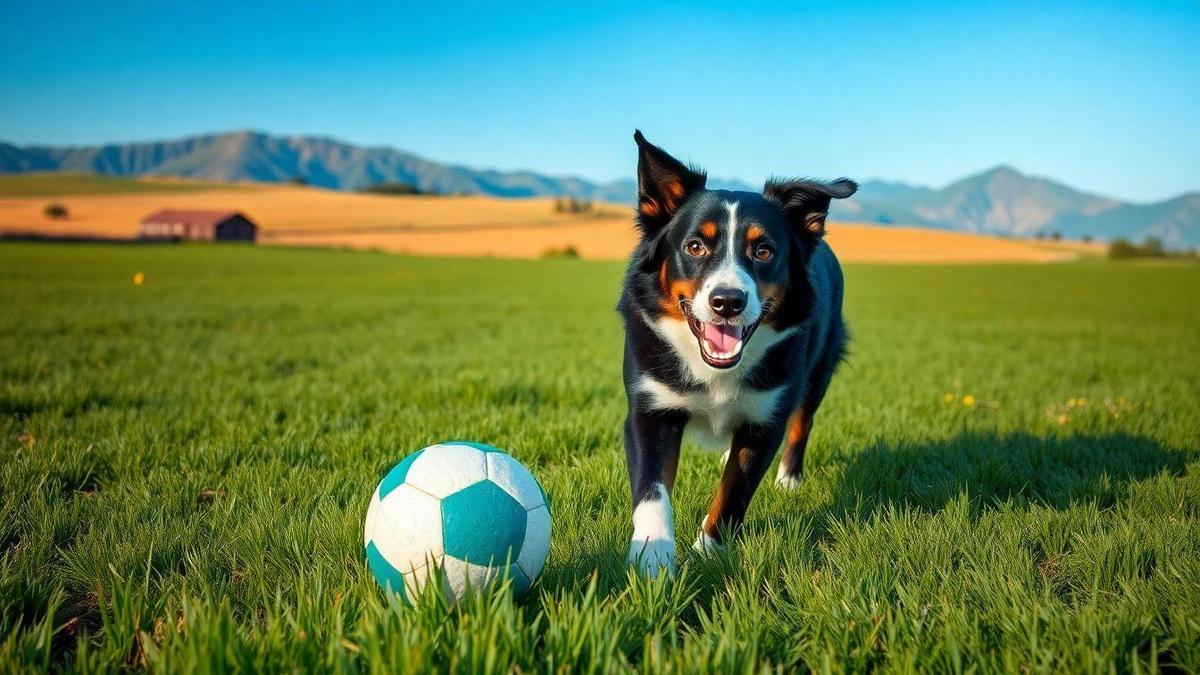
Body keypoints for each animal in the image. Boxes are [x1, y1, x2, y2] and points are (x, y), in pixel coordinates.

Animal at [619, 130, 854, 571]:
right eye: (695, 246)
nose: (727, 301)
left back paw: (789, 479)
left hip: (819, 369)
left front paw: (708, 551)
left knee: (803, 421)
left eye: (763, 251)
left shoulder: (765, 419)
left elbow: (734, 492)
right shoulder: (651, 408)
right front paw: (652, 557)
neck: (715, 369)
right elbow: (652, 489)